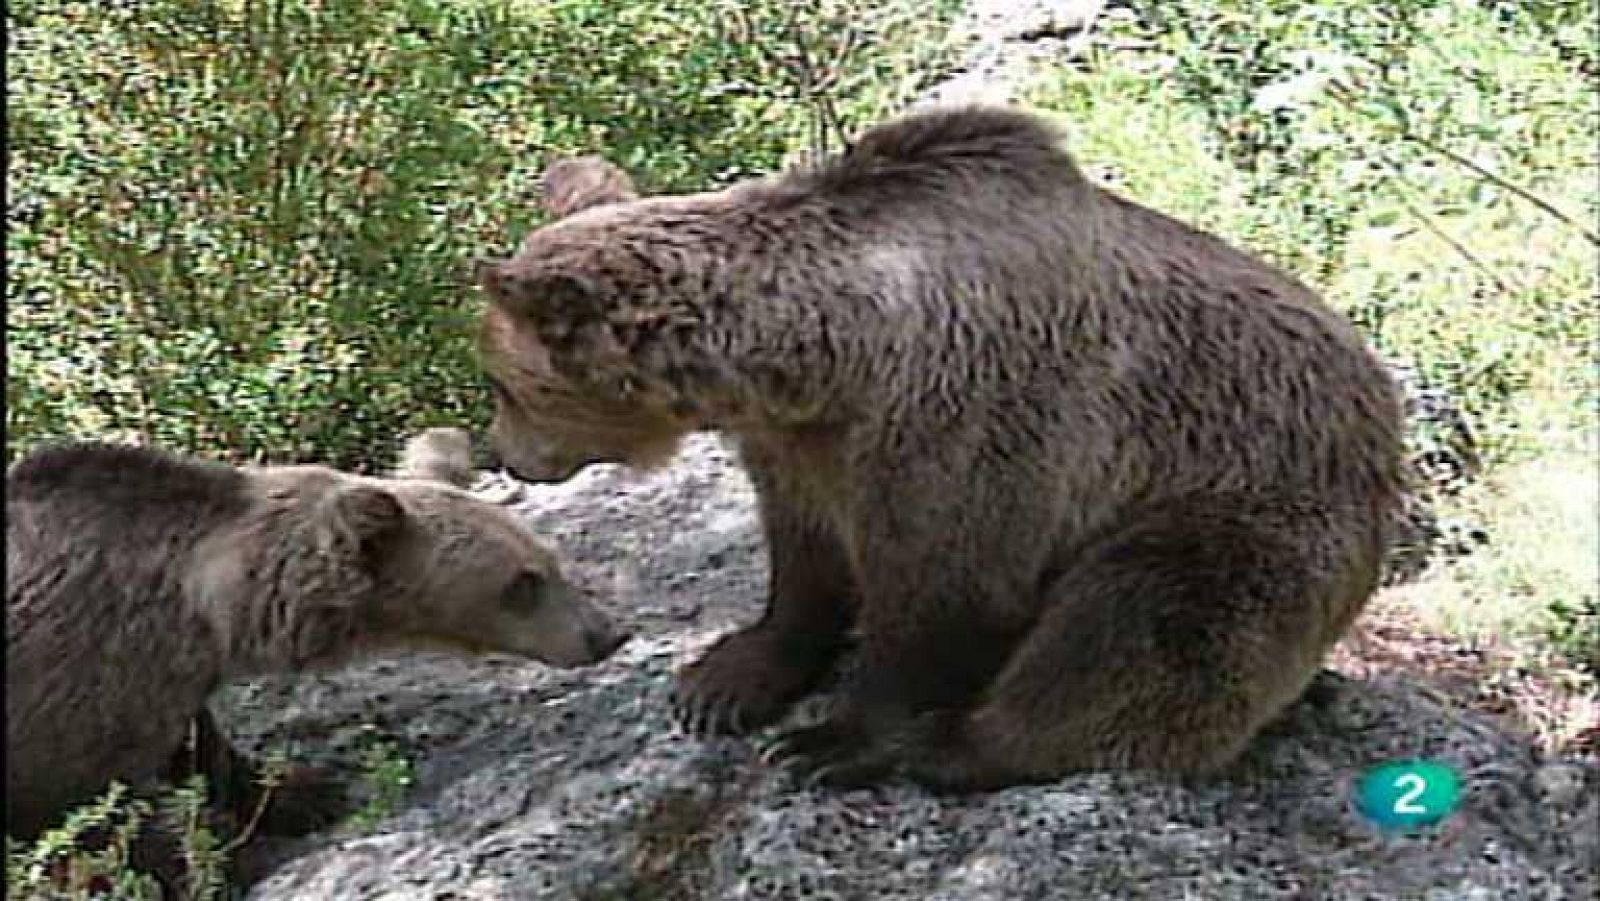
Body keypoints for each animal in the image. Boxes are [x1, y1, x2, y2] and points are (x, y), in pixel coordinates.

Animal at [7, 428, 630, 838]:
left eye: (549, 562)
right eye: (522, 583)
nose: (607, 634)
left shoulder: (159, 685)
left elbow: (205, 750)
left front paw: (303, 792)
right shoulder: (75, 693)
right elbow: (98, 819)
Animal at [470, 105, 1401, 793]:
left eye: (503, 386)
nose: (508, 454)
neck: (829, 357)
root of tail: (1385, 414)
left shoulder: (969, 420)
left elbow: (944, 590)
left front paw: (831, 739)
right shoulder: (802, 445)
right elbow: (804, 558)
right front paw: (725, 678)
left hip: (1254, 507)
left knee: (1141, 629)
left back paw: (954, 747)